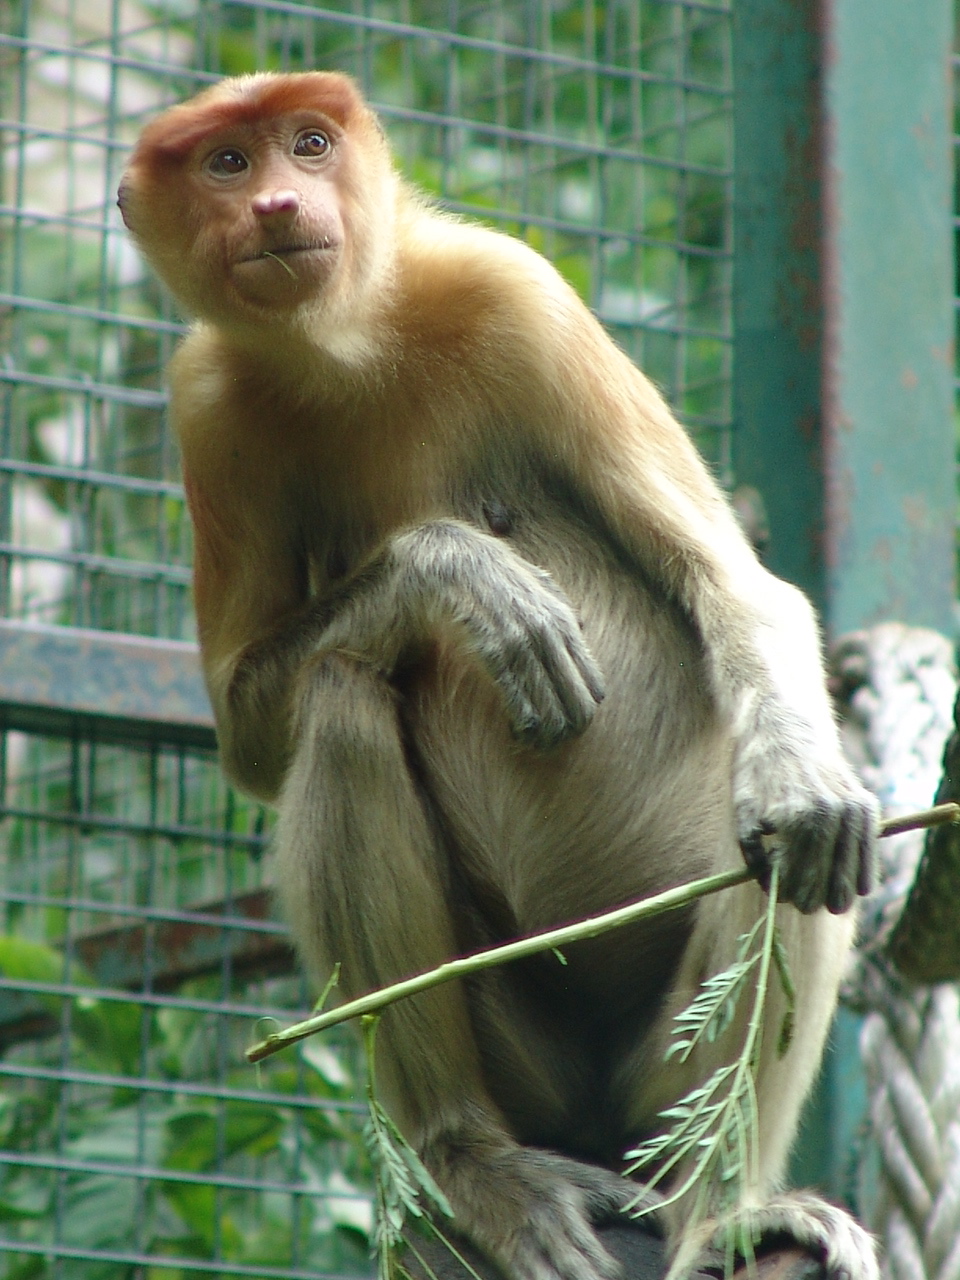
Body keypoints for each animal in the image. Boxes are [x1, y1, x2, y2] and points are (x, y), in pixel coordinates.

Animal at [118, 72, 880, 1280]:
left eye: (309, 143)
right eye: (227, 164)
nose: (281, 206)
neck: (351, 344)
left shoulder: (520, 295)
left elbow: (736, 587)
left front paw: (803, 787)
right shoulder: (207, 404)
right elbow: (247, 728)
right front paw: (463, 576)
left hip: (654, 1075)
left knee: (772, 868)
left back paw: (718, 1209)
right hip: (518, 1052)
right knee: (342, 696)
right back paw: (478, 1163)